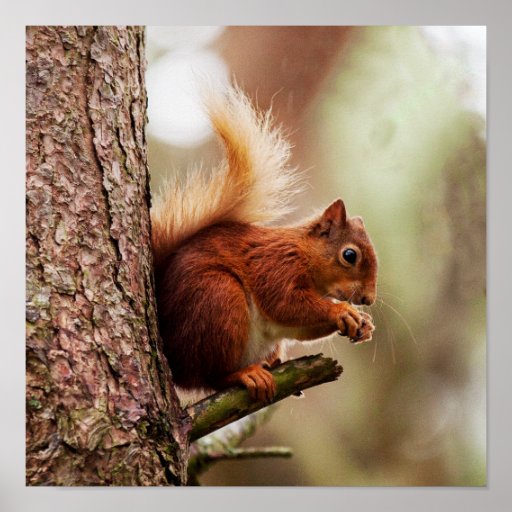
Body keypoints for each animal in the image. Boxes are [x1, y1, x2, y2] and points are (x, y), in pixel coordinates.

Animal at [151, 86, 376, 402]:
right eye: (349, 255)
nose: (369, 299)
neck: (304, 254)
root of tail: (174, 360)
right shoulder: (275, 266)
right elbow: (285, 303)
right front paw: (341, 311)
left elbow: (300, 327)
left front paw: (364, 323)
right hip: (218, 298)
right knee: (209, 377)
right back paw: (245, 374)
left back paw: (273, 362)